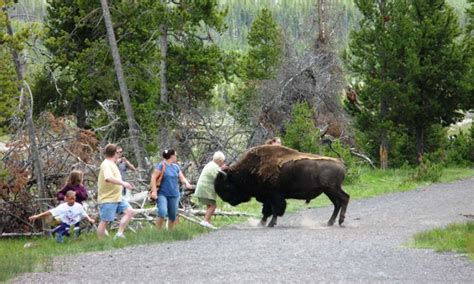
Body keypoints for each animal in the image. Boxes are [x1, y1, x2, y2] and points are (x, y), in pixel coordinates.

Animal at [215, 145, 348, 227]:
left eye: (226, 186)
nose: (228, 200)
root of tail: (340, 162)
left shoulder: (274, 196)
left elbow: (275, 210)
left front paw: (270, 224)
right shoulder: (267, 198)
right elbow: (266, 211)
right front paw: (261, 224)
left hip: (333, 189)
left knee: (344, 198)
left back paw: (340, 221)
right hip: (328, 191)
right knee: (337, 203)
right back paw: (330, 222)